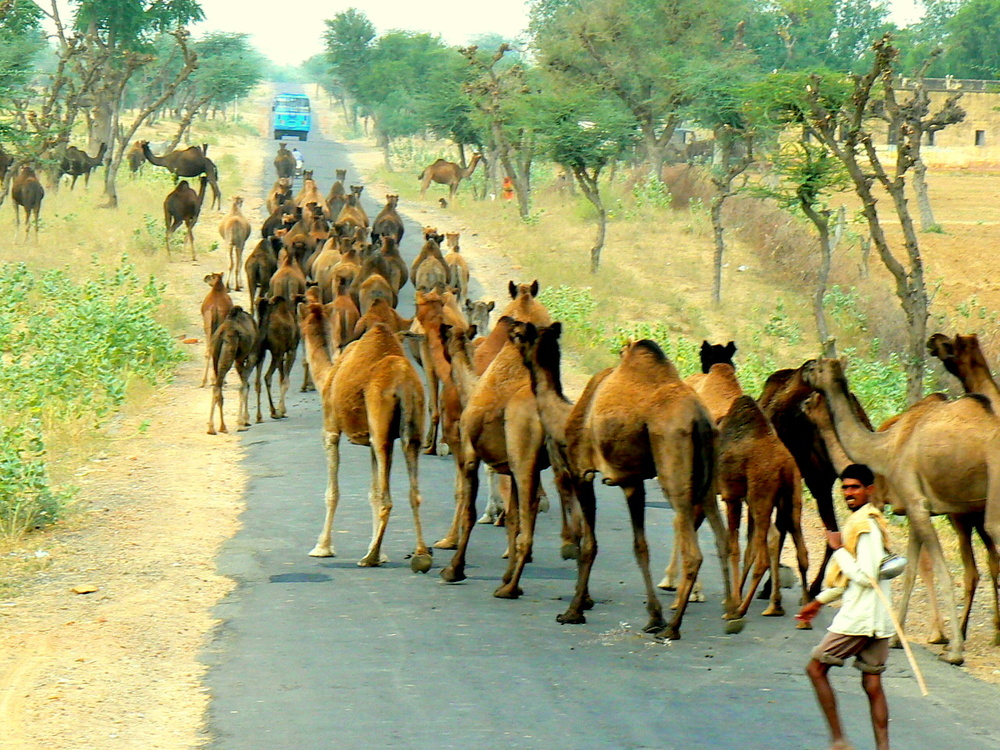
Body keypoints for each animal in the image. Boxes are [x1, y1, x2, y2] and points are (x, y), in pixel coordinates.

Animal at [207, 306, 258, 434]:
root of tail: (222, 333)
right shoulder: (251, 355)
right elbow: (244, 387)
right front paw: (242, 422)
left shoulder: (240, 360)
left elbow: (245, 385)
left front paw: (245, 420)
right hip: (229, 353)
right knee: (220, 386)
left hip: (215, 357)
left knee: (217, 387)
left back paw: (216, 427)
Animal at [254, 296, 300, 424]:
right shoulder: (291, 350)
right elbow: (285, 380)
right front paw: (282, 411)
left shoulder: (281, 352)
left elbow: (281, 378)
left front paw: (281, 411)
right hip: (276, 353)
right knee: (267, 377)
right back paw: (274, 412)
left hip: (261, 353)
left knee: (257, 381)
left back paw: (259, 417)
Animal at [300, 302, 434, 572]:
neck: (329, 374)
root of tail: (403, 382)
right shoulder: (370, 439)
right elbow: (372, 492)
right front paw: (381, 552)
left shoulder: (330, 428)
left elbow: (333, 492)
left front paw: (322, 547)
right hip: (411, 427)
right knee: (413, 492)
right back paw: (421, 555)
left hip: (381, 425)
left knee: (387, 498)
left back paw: (369, 558)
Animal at [508, 322, 744, 640]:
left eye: (522, 334)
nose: (510, 328)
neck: (567, 416)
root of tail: (700, 420)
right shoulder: (632, 481)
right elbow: (640, 547)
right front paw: (653, 616)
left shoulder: (583, 470)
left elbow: (589, 544)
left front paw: (573, 611)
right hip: (707, 478)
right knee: (721, 539)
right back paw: (731, 616)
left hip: (674, 468)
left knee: (693, 549)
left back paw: (673, 627)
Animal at [800, 356, 1000, 664]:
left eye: (817, 367)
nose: (804, 375)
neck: (885, 447)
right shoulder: (913, 508)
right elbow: (909, 571)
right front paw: (896, 638)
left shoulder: (911, 504)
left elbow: (939, 571)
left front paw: (953, 650)